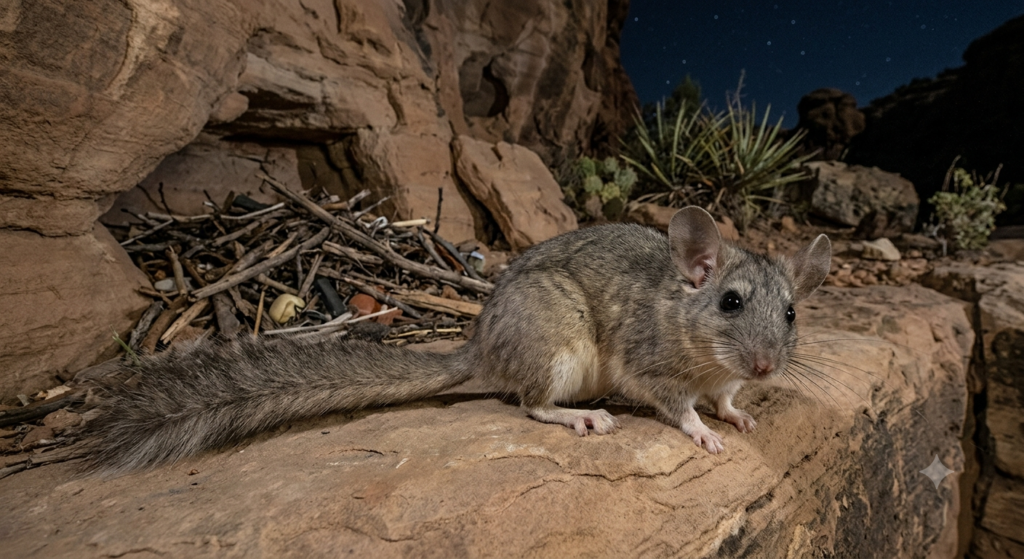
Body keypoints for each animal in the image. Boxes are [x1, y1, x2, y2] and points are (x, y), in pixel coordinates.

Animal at [82, 206, 832, 474]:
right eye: (730, 301)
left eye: (793, 313)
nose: (767, 365)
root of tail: (478, 346)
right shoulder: (652, 371)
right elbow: (679, 408)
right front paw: (706, 434)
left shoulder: (726, 377)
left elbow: (727, 399)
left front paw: (741, 416)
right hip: (559, 351)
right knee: (529, 404)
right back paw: (586, 416)